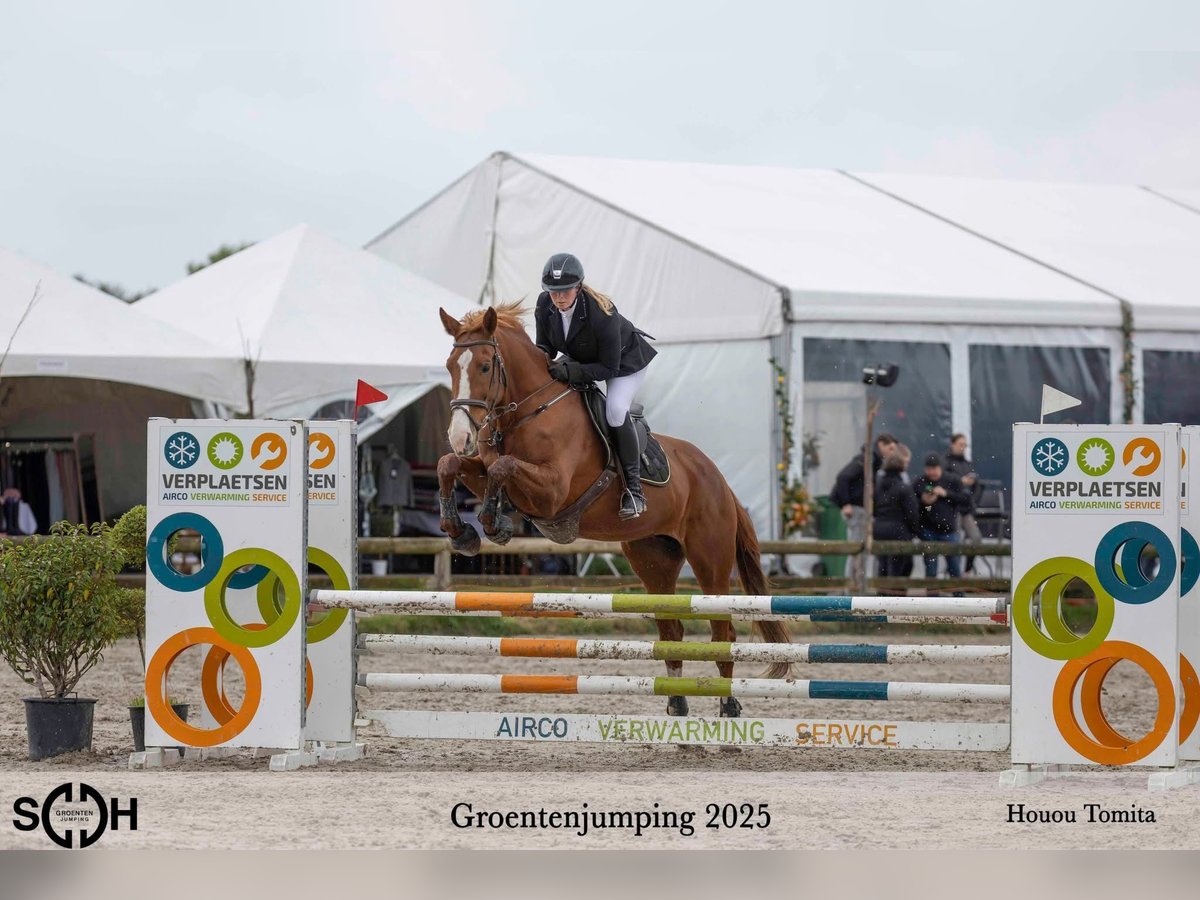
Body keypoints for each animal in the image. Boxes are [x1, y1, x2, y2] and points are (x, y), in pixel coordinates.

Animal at [434, 302, 791, 719]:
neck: (526, 411)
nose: (460, 437)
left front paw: (493, 523)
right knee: (672, 631)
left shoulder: (552, 492)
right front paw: (462, 532)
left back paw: (728, 705)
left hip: (710, 559)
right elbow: (452, 465)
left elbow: (502, 468)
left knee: (723, 631)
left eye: (486, 366)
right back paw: (677, 703)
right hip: (653, 559)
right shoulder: (484, 467)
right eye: (450, 365)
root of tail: (718, 478)